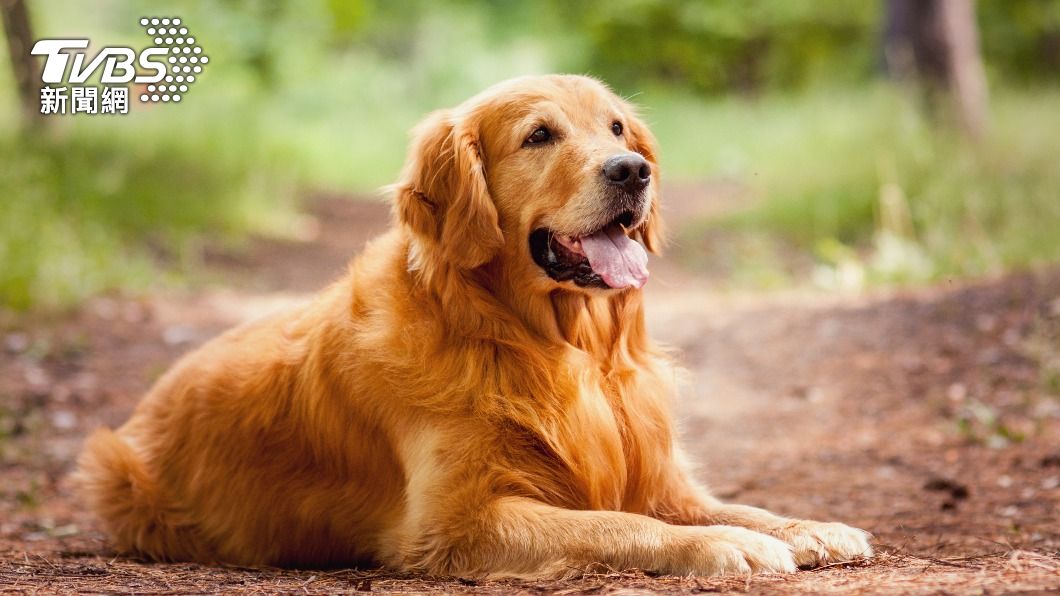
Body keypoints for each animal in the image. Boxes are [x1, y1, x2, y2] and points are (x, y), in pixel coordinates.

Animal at [74, 74, 869, 576]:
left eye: (616, 127)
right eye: (539, 135)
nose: (632, 169)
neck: (551, 345)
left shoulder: (661, 477)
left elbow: (736, 506)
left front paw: (808, 527)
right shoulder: (456, 522)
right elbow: (618, 524)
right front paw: (723, 547)